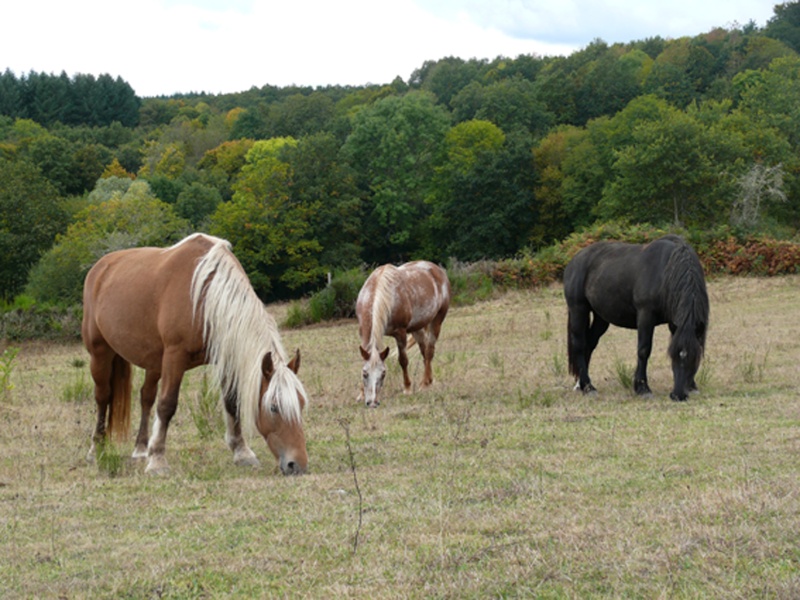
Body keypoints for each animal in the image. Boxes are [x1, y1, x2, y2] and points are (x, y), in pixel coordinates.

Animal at [83, 233, 310, 474]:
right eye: (274, 407)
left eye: (301, 403)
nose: (297, 464)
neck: (205, 297)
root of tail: (99, 268)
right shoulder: (174, 357)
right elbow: (167, 405)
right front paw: (158, 460)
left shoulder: (226, 357)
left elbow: (232, 402)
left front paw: (242, 452)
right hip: (100, 353)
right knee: (103, 397)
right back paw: (96, 450)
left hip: (153, 362)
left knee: (146, 397)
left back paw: (140, 449)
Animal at [356, 258, 450, 406]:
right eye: (365, 373)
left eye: (383, 373)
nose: (372, 402)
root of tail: (437, 269)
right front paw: (360, 394)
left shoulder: (400, 333)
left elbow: (403, 360)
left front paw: (407, 388)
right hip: (417, 328)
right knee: (424, 351)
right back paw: (427, 381)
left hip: (437, 321)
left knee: (429, 351)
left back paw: (425, 384)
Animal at [564, 237, 708, 400]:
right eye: (672, 355)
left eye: (695, 357)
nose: (677, 395)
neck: (666, 271)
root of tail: (575, 260)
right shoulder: (646, 316)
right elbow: (643, 350)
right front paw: (643, 388)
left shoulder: (675, 323)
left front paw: (692, 386)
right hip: (578, 310)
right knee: (579, 345)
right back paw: (588, 387)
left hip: (600, 318)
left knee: (589, 344)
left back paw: (581, 385)